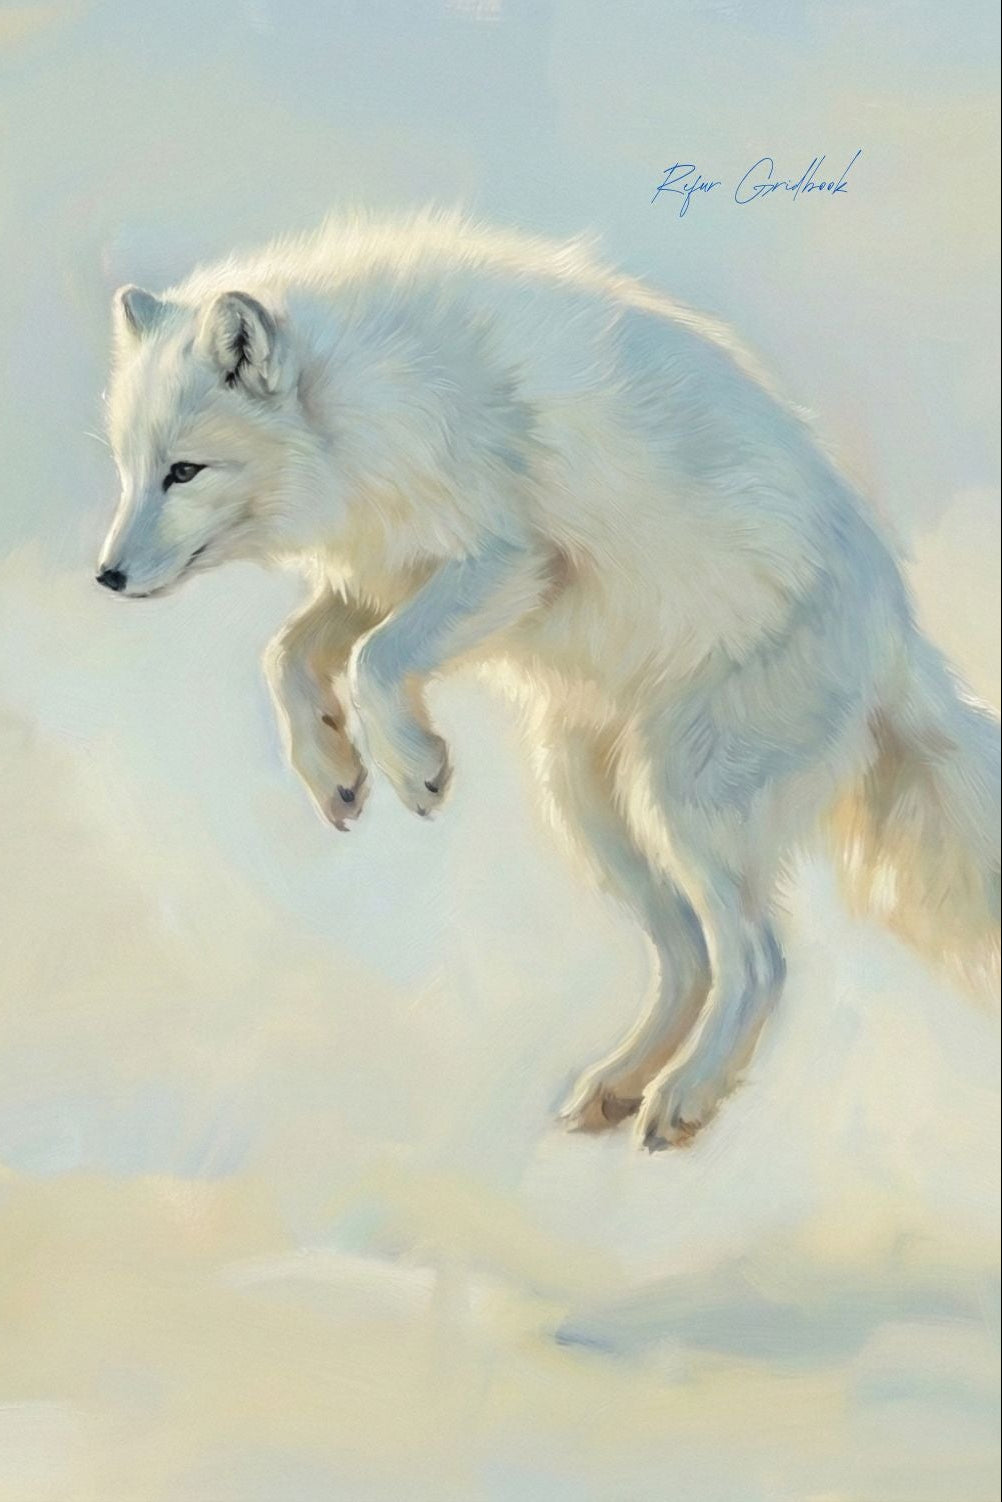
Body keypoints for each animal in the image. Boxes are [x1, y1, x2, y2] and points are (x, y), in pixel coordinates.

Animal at [96, 211, 1000, 1150]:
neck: (357, 399)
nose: (107, 577)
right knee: (687, 957)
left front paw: (413, 767)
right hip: (586, 803)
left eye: (185, 471)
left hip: (689, 800)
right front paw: (333, 771)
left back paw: (684, 1099)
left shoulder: (507, 562)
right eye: (128, 470)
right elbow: (290, 653)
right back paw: (617, 1087)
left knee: (758, 960)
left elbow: (375, 656)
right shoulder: (389, 568)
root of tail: (895, 631)